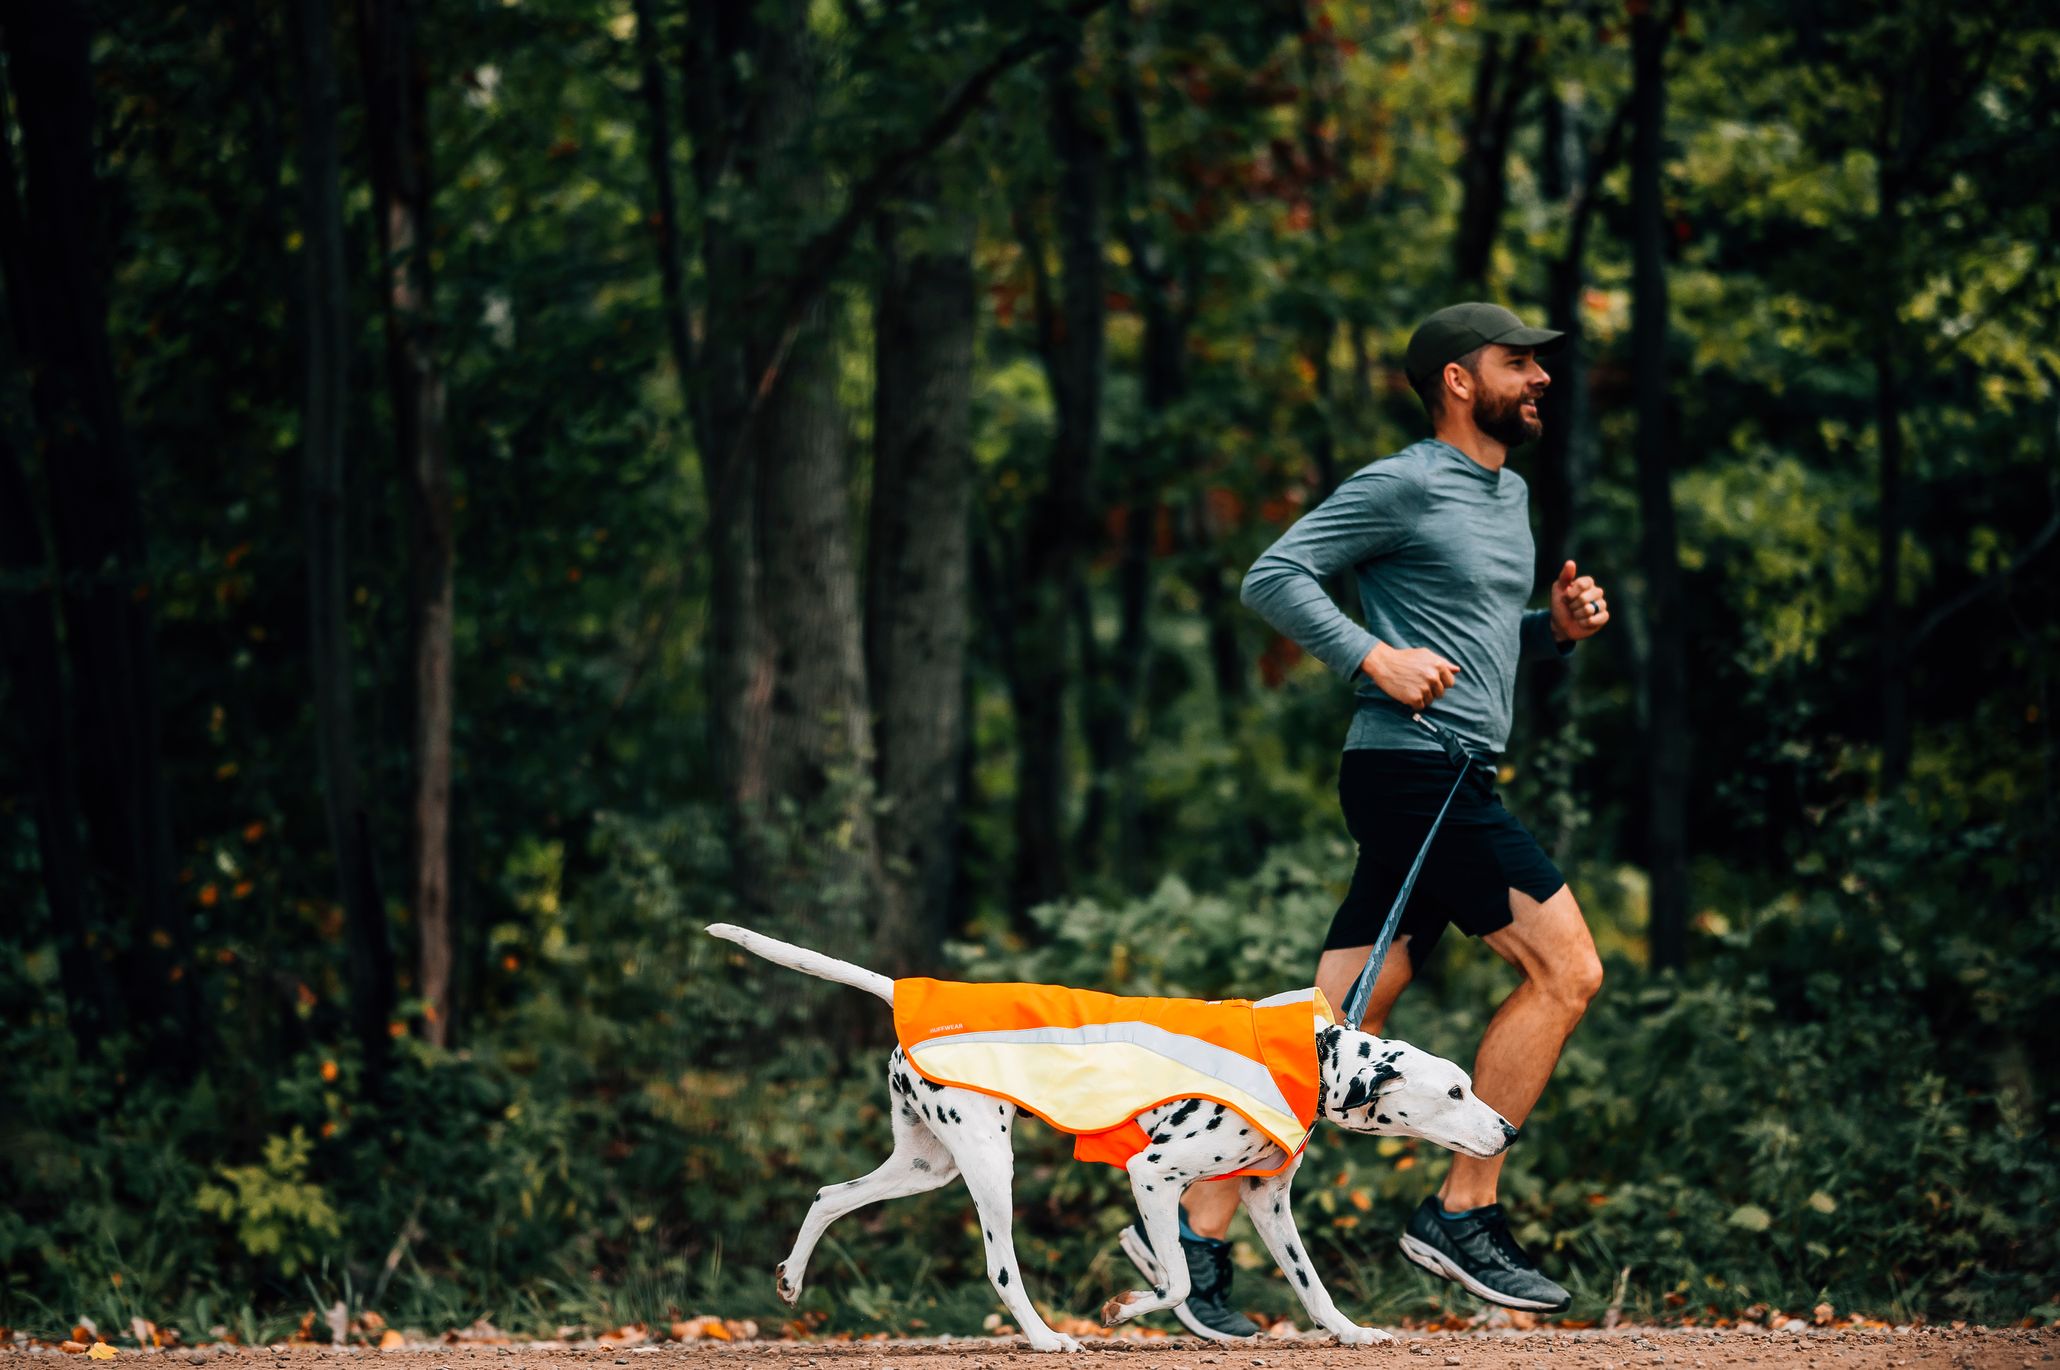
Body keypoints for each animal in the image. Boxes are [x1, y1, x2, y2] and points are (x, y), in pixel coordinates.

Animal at [700, 918, 1524, 1343]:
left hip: (927, 1166)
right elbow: (1181, 1276)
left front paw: (1352, 1334)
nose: (1511, 1131)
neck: (1314, 1058)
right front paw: (1126, 1309)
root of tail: (907, 998)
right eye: (1456, 1090)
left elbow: (1310, 1285)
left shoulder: (1268, 1202)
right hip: (989, 1167)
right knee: (1001, 1270)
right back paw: (1045, 1337)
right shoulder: (1154, 1176)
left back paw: (792, 1277)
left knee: (829, 1196)